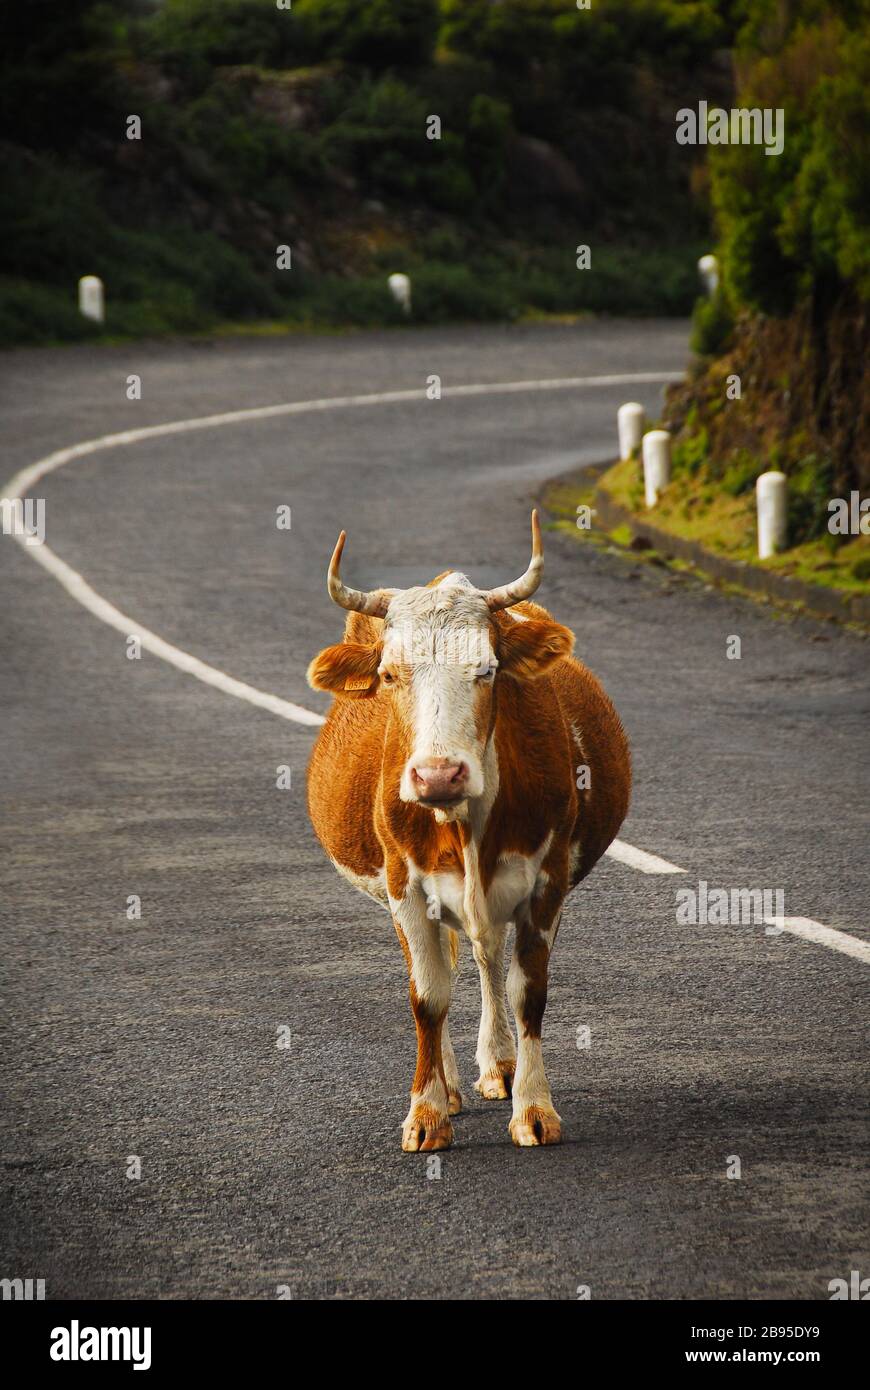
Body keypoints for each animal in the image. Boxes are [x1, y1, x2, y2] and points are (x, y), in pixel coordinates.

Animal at [306, 511, 631, 1150]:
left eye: (487, 670)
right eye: (389, 674)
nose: (438, 774)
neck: (464, 825)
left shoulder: (546, 881)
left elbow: (527, 990)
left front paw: (534, 1107)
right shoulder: (405, 886)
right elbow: (427, 995)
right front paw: (427, 1111)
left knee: (484, 956)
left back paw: (498, 1065)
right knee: (447, 967)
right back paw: (451, 1084)